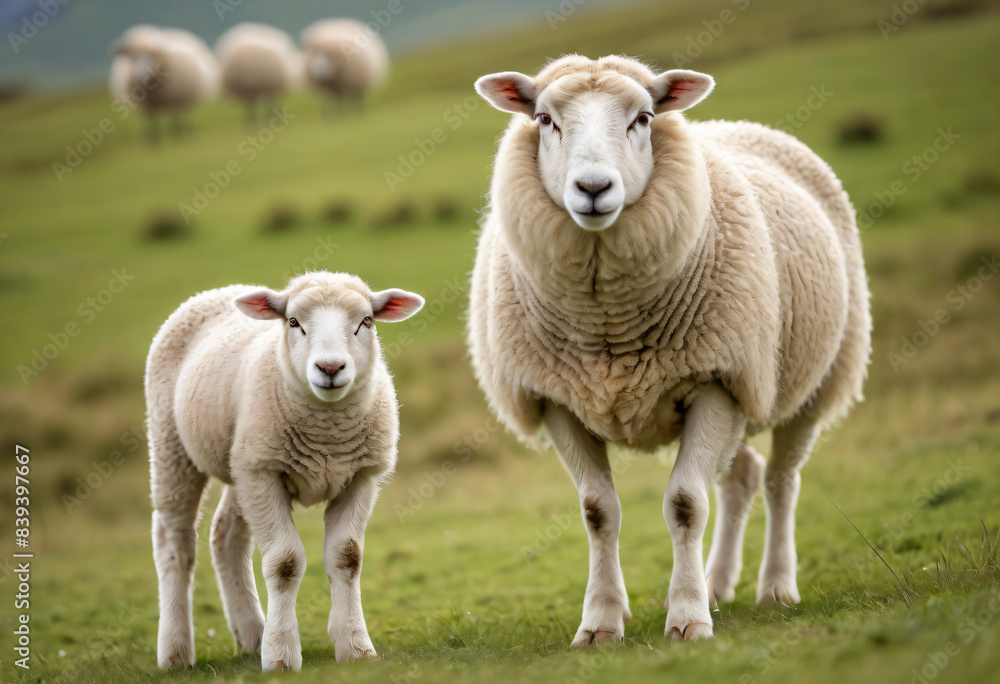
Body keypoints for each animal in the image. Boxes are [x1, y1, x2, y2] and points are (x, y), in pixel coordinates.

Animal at [146, 271, 424, 671]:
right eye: (293, 322)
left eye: (366, 322)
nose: (330, 368)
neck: (327, 435)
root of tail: (219, 290)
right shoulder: (264, 475)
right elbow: (284, 563)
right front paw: (280, 656)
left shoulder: (360, 477)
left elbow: (348, 557)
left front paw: (356, 648)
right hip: (173, 445)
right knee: (174, 543)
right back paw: (175, 653)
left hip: (243, 463)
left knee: (226, 535)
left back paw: (251, 635)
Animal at [469, 55, 871, 645]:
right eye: (544, 119)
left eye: (643, 118)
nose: (593, 187)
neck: (607, 325)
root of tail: (742, 125)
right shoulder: (557, 400)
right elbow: (597, 511)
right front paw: (601, 622)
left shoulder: (716, 382)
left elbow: (685, 503)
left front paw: (687, 618)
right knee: (743, 476)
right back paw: (719, 583)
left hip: (809, 381)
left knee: (780, 480)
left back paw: (775, 588)